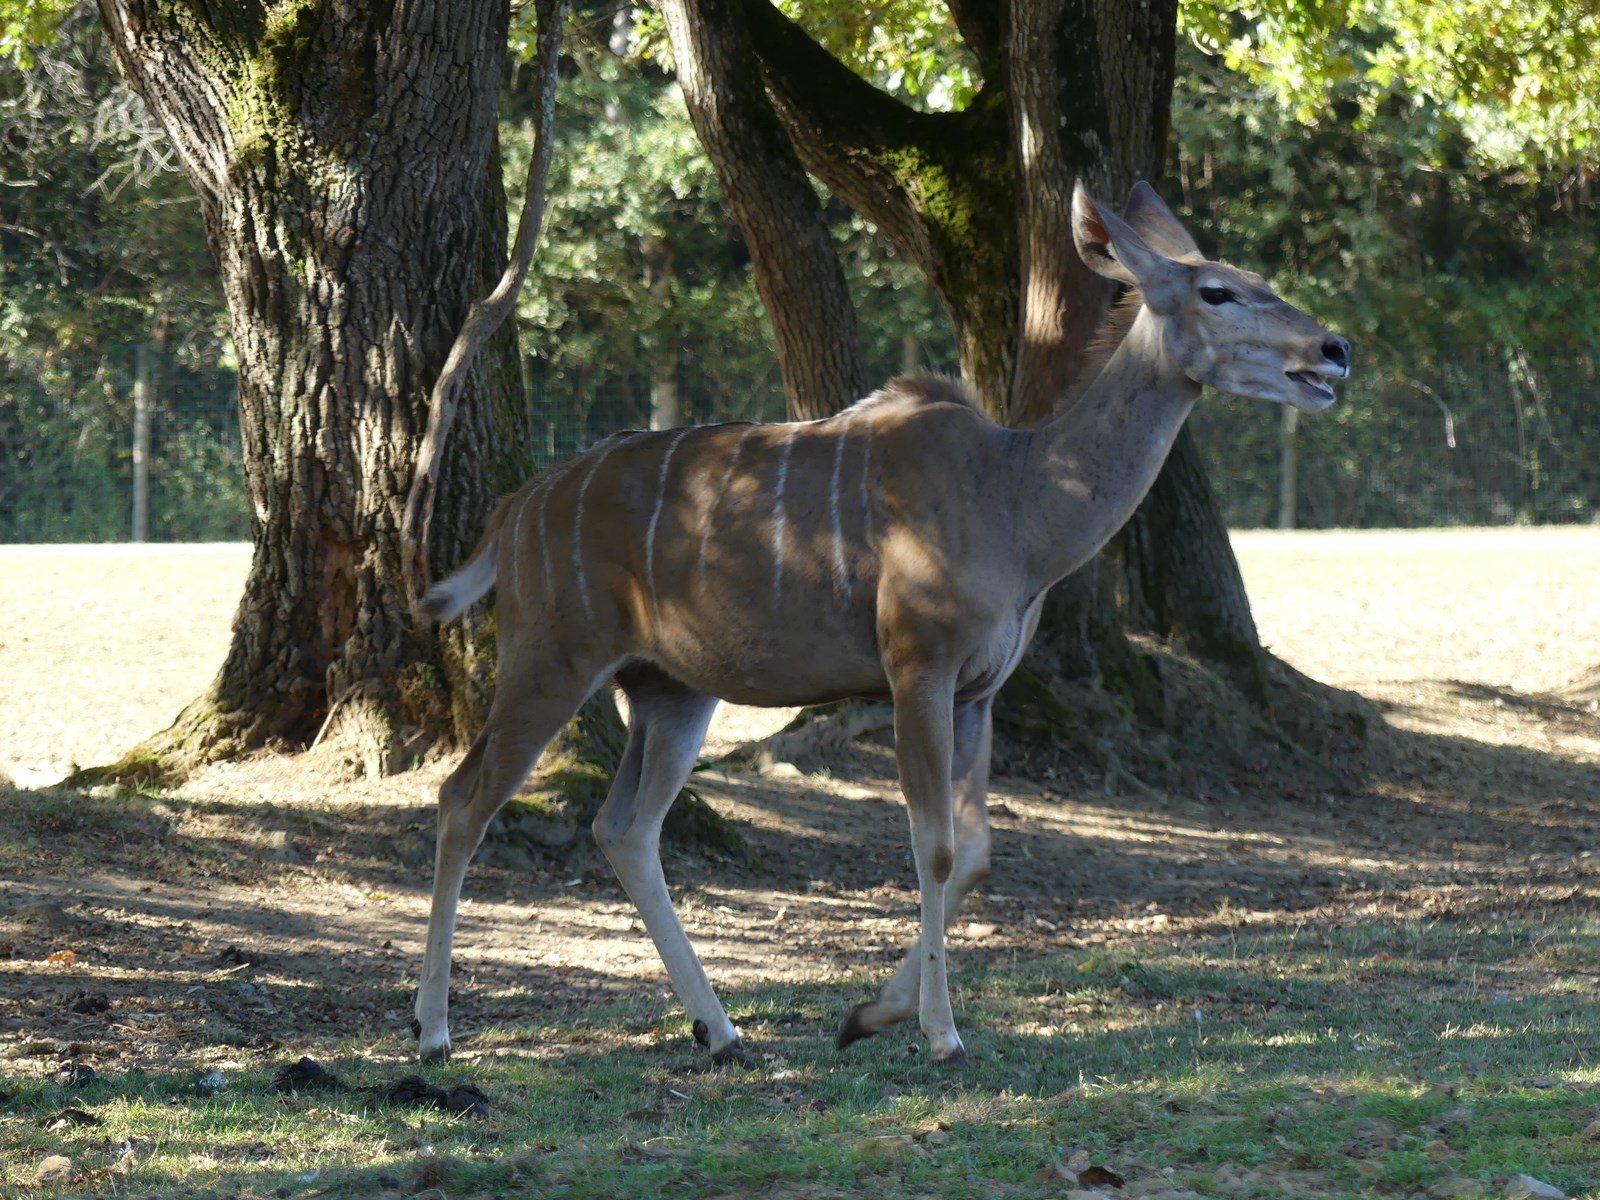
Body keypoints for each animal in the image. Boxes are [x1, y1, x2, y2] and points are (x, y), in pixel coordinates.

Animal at [412, 181, 1350, 1068]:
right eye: (1217, 290)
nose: (1332, 349)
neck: (1019, 502)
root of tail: (513, 511)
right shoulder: (917, 670)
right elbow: (933, 846)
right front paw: (940, 1034)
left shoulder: (979, 694)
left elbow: (975, 851)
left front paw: (865, 1017)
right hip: (550, 662)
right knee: (465, 797)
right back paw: (433, 1033)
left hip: (672, 691)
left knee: (625, 828)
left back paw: (722, 1033)